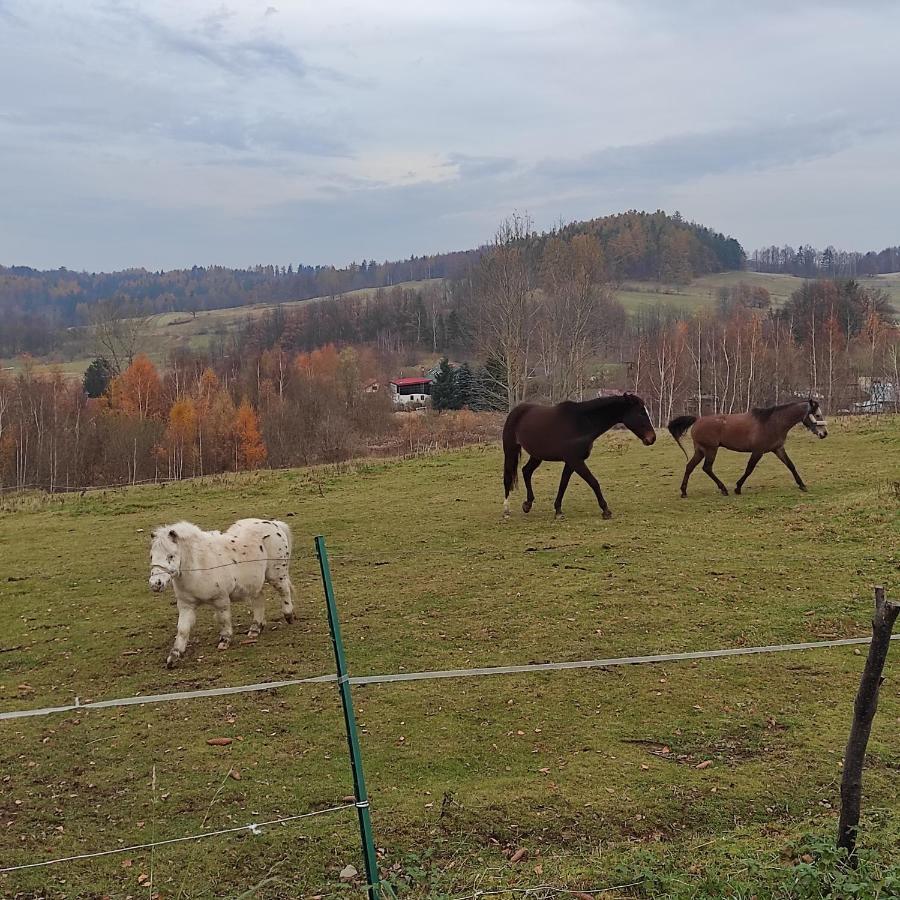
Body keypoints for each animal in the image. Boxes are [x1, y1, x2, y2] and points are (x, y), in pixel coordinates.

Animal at [149, 520, 296, 668]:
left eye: (171, 556)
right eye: (151, 556)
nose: (156, 584)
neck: (200, 565)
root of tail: (274, 524)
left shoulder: (220, 599)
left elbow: (223, 619)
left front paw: (225, 641)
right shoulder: (186, 605)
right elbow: (183, 629)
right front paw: (174, 656)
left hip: (276, 574)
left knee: (284, 591)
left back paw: (288, 615)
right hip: (253, 582)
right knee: (259, 600)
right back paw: (255, 629)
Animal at [502, 394, 656, 520]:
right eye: (641, 413)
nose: (652, 438)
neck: (581, 423)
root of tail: (516, 411)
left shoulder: (571, 462)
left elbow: (563, 484)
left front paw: (558, 510)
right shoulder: (575, 461)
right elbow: (593, 482)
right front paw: (606, 510)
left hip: (537, 455)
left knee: (526, 471)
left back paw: (527, 504)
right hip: (510, 450)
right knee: (508, 477)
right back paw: (506, 510)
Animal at [668, 400, 828, 500]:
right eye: (817, 415)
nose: (824, 434)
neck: (772, 422)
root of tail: (697, 420)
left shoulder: (778, 449)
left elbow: (791, 465)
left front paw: (802, 485)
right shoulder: (758, 451)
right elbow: (749, 469)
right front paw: (738, 488)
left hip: (700, 451)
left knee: (690, 467)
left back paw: (684, 491)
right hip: (711, 450)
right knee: (707, 468)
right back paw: (723, 489)